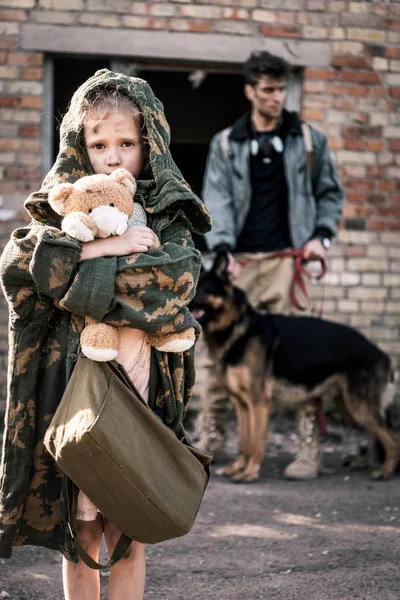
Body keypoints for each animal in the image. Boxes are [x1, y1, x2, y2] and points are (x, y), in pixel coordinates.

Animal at [191, 252, 400, 482]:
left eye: (202, 288)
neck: (237, 326)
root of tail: (382, 354)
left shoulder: (258, 403)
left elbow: (254, 443)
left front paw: (250, 472)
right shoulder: (242, 405)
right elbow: (243, 442)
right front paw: (237, 467)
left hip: (359, 407)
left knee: (392, 439)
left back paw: (385, 471)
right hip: (349, 408)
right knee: (372, 434)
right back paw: (364, 462)